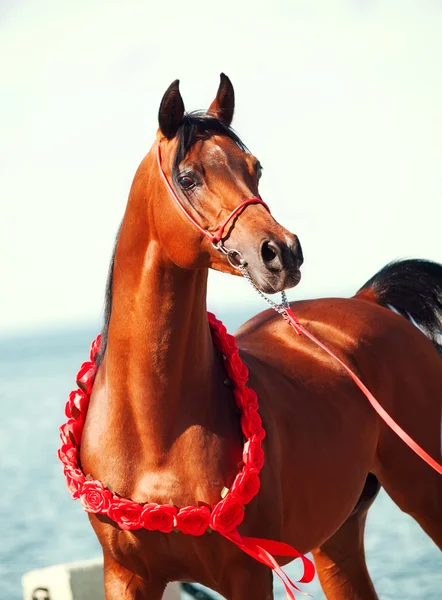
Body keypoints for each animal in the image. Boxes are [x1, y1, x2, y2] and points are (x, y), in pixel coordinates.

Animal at [78, 72, 442, 596]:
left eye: (255, 169)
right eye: (187, 178)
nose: (282, 252)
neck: (155, 435)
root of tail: (368, 300)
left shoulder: (248, 574)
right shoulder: (125, 576)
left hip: (425, 491)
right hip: (336, 539)